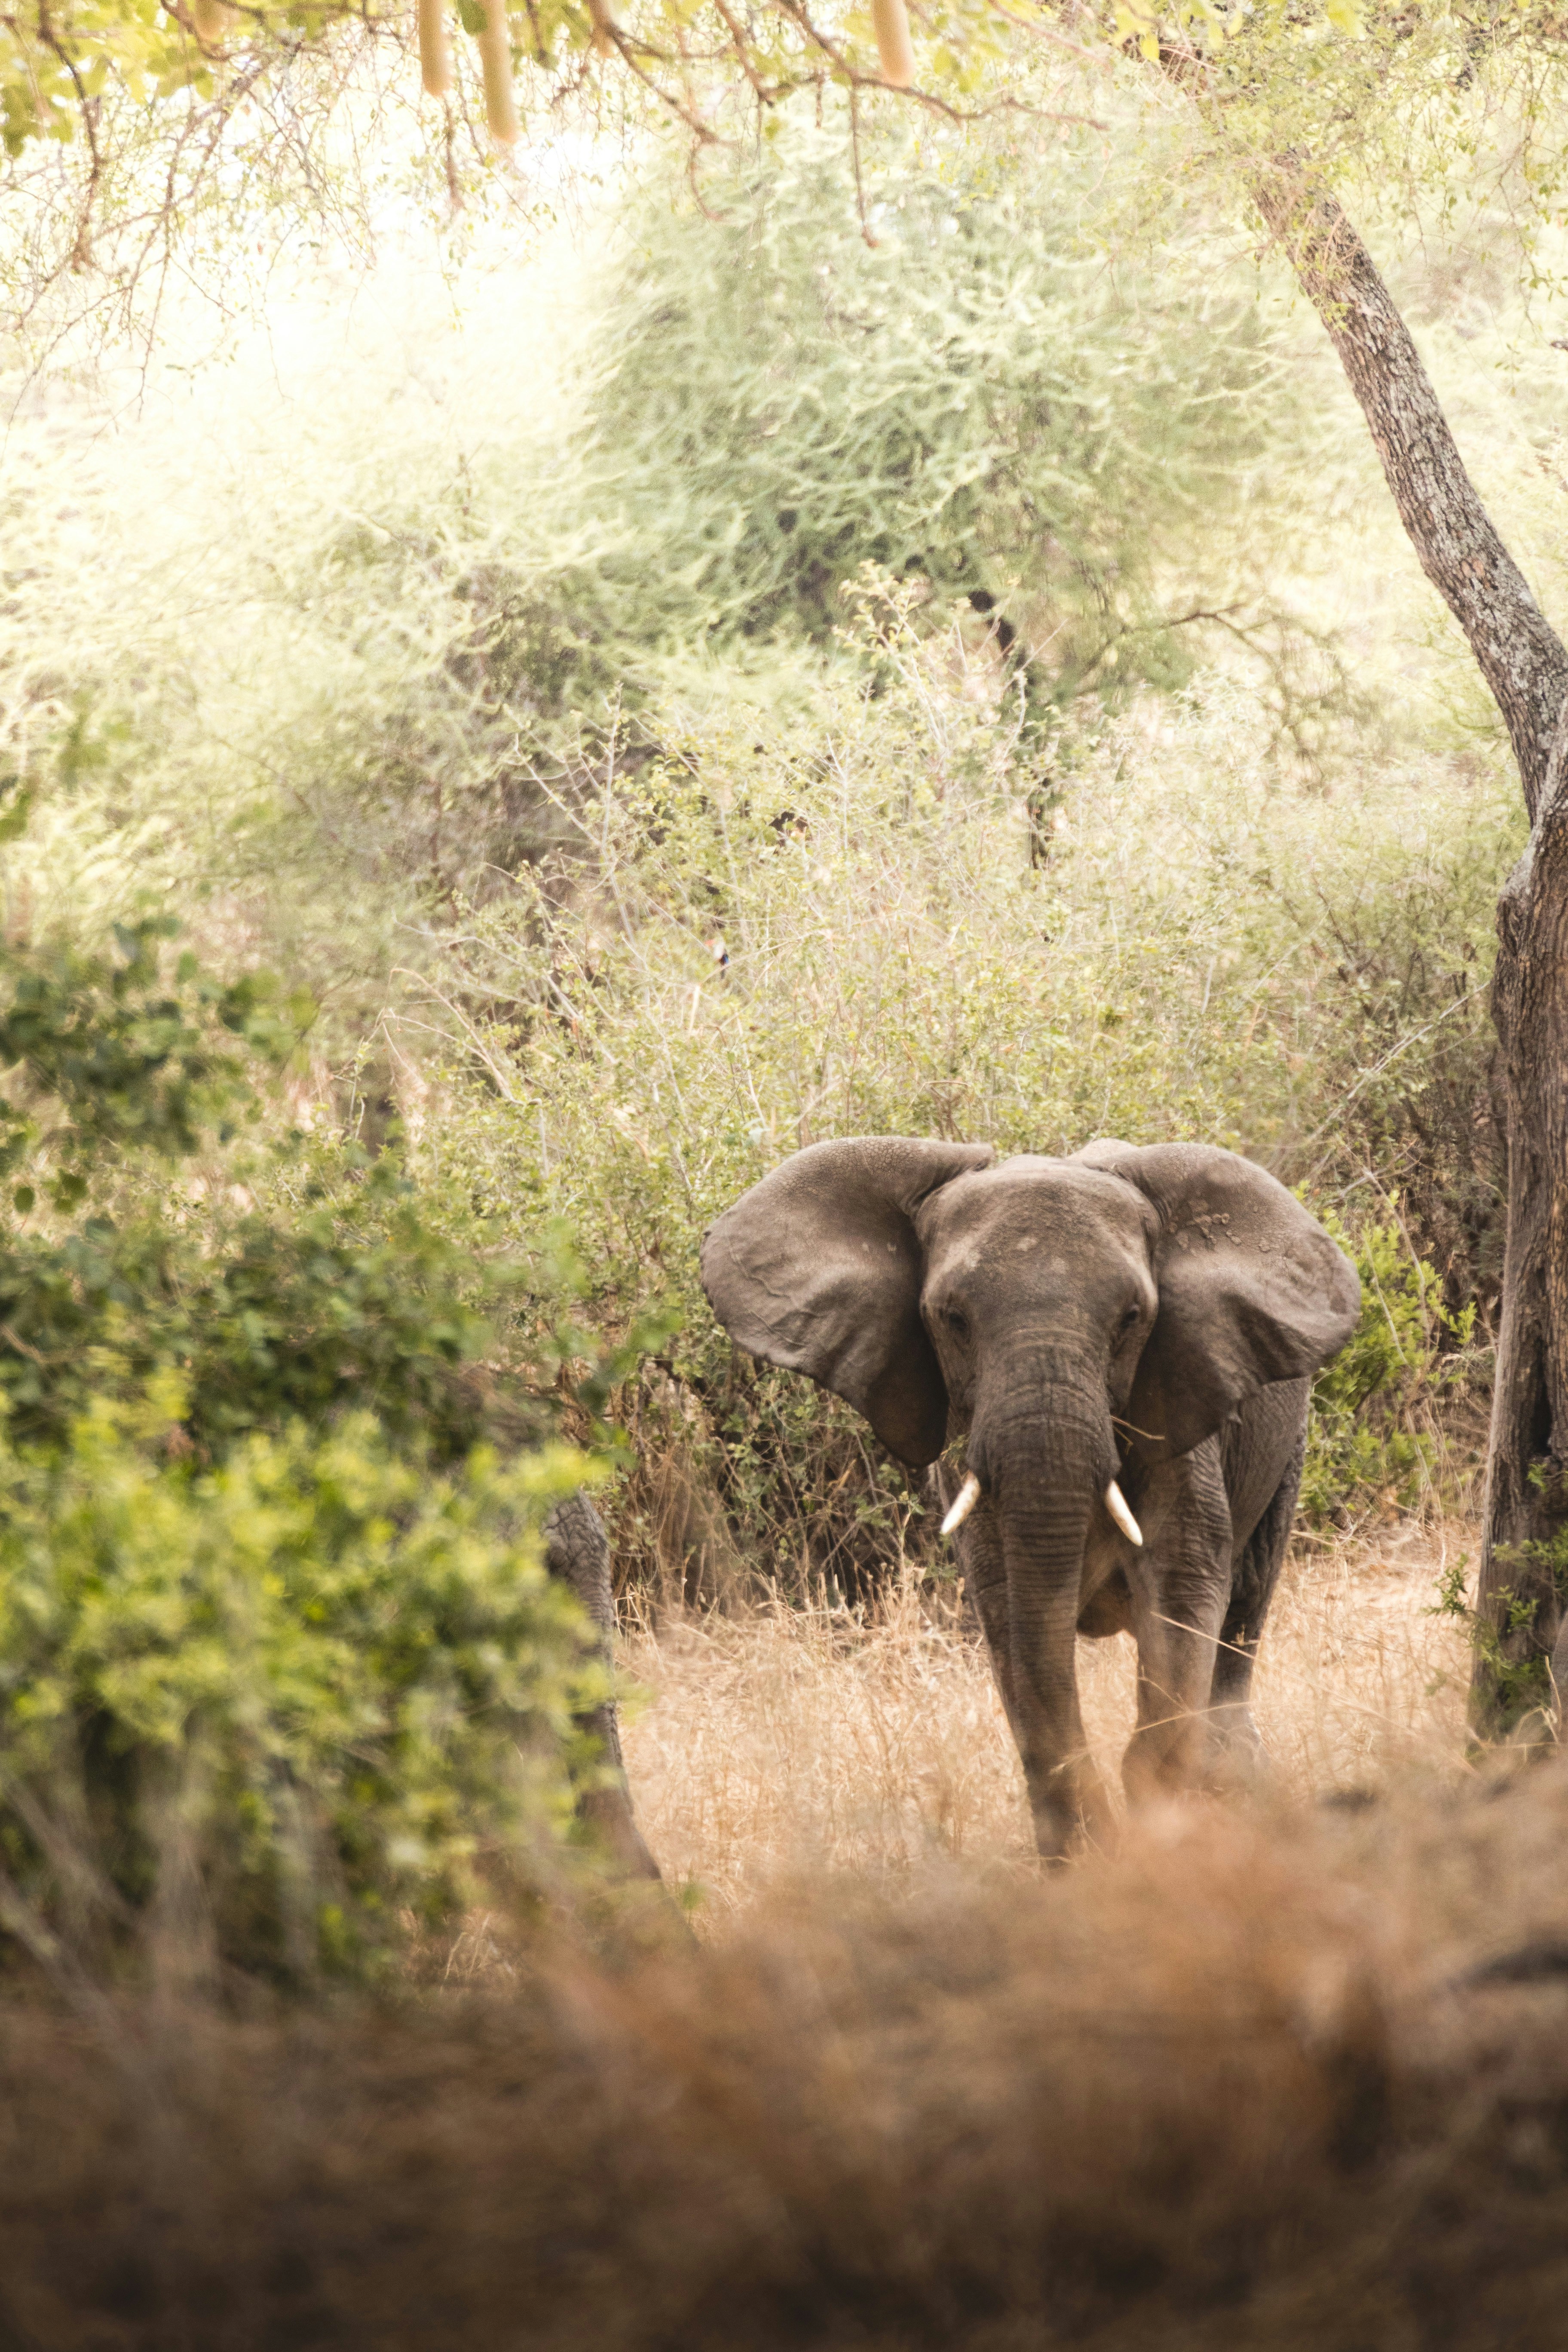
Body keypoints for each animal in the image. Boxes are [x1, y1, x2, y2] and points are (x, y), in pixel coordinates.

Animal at [700, 1136, 1360, 1860]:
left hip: (1287, 1444)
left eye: (1133, 1318)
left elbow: (1185, 1595)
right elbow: (1012, 1621)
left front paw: (1161, 1841)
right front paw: (1084, 1859)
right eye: (952, 1319)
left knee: (1246, 1605)